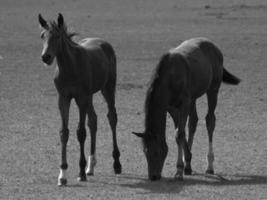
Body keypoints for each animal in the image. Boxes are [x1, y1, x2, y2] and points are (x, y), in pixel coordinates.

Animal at [38, 13, 122, 186]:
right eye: (42, 35)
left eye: (57, 36)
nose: (46, 57)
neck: (70, 67)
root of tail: (103, 42)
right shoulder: (63, 98)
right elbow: (64, 132)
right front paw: (62, 175)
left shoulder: (80, 98)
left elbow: (81, 132)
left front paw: (81, 172)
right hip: (90, 96)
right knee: (93, 120)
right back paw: (91, 166)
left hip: (107, 88)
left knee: (112, 118)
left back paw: (116, 164)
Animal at [133, 37, 242, 181]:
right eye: (145, 151)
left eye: (156, 152)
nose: (153, 176)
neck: (170, 77)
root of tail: (214, 47)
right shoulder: (171, 107)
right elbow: (179, 132)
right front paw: (187, 162)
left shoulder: (183, 103)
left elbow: (179, 133)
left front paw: (179, 170)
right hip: (193, 98)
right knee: (193, 122)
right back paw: (189, 165)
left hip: (213, 89)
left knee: (210, 120)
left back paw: (210, 166)